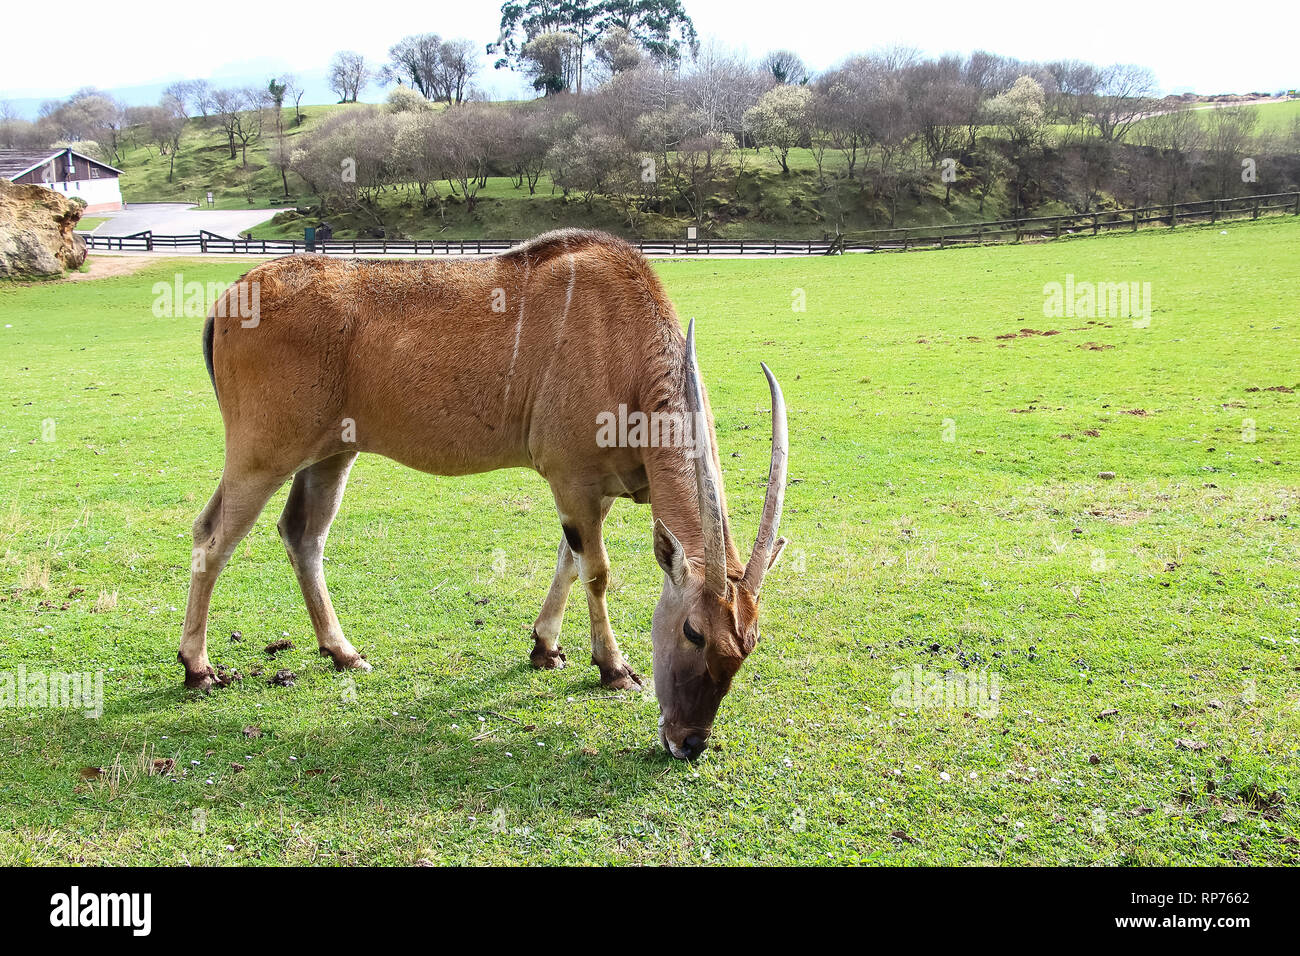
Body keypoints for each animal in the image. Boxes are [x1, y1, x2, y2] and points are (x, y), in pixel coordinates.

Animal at [181, 229, 788, 759]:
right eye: (692, 631)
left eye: (749, 645)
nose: (689, 742)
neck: (623, 343)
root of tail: (233, 295)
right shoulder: (572, 480)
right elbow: (595, 571)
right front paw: (613, 668)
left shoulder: (597, 491)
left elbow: (569, 561)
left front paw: (545, 648)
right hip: (262, 455)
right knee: (212, 536)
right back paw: (198, 667)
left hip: (331, 455)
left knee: (302, 534)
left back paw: (343, 653)